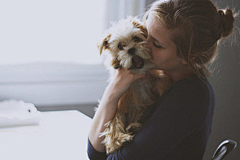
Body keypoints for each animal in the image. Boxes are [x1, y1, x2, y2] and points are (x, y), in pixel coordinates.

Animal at [97, 16, 171, 154]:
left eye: (136, 39)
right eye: (120, 46)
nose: (131, 49)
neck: (139, 76)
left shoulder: (153, 76)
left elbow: (161, 79)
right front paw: (115, 62)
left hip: (142, 109)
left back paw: (132, 127)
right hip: (117, 112)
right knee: (112, 136)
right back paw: (122, 138)